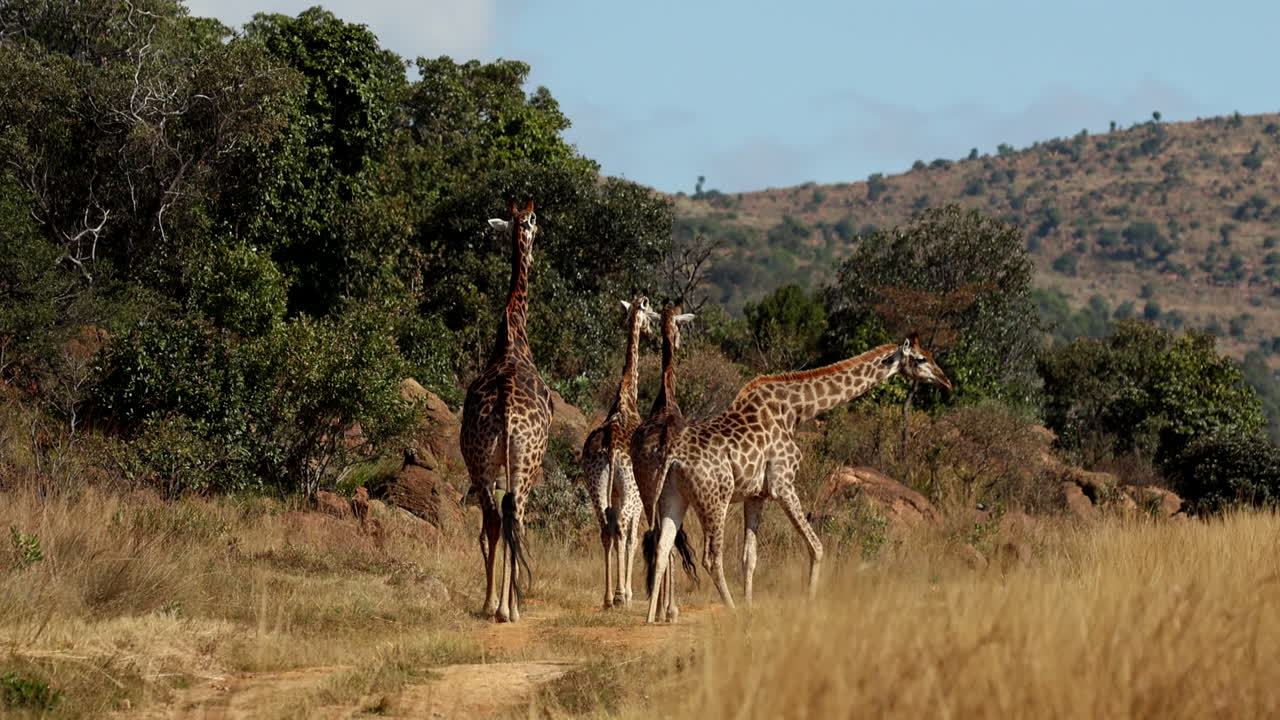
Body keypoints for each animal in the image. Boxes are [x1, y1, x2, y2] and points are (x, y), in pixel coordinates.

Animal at [645, 334, 952, 623]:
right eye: (922, 359)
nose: (946, 382)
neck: (796, 409)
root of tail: (673, 457)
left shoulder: (756, 495)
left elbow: (749, 557)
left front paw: (750, 606)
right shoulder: (783, 484)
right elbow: (816, 547)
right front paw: (809, 601)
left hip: (674, 497)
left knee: (662, 547)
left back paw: (651, 617)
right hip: (714, 500)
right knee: (710, 557)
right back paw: (729, 609)